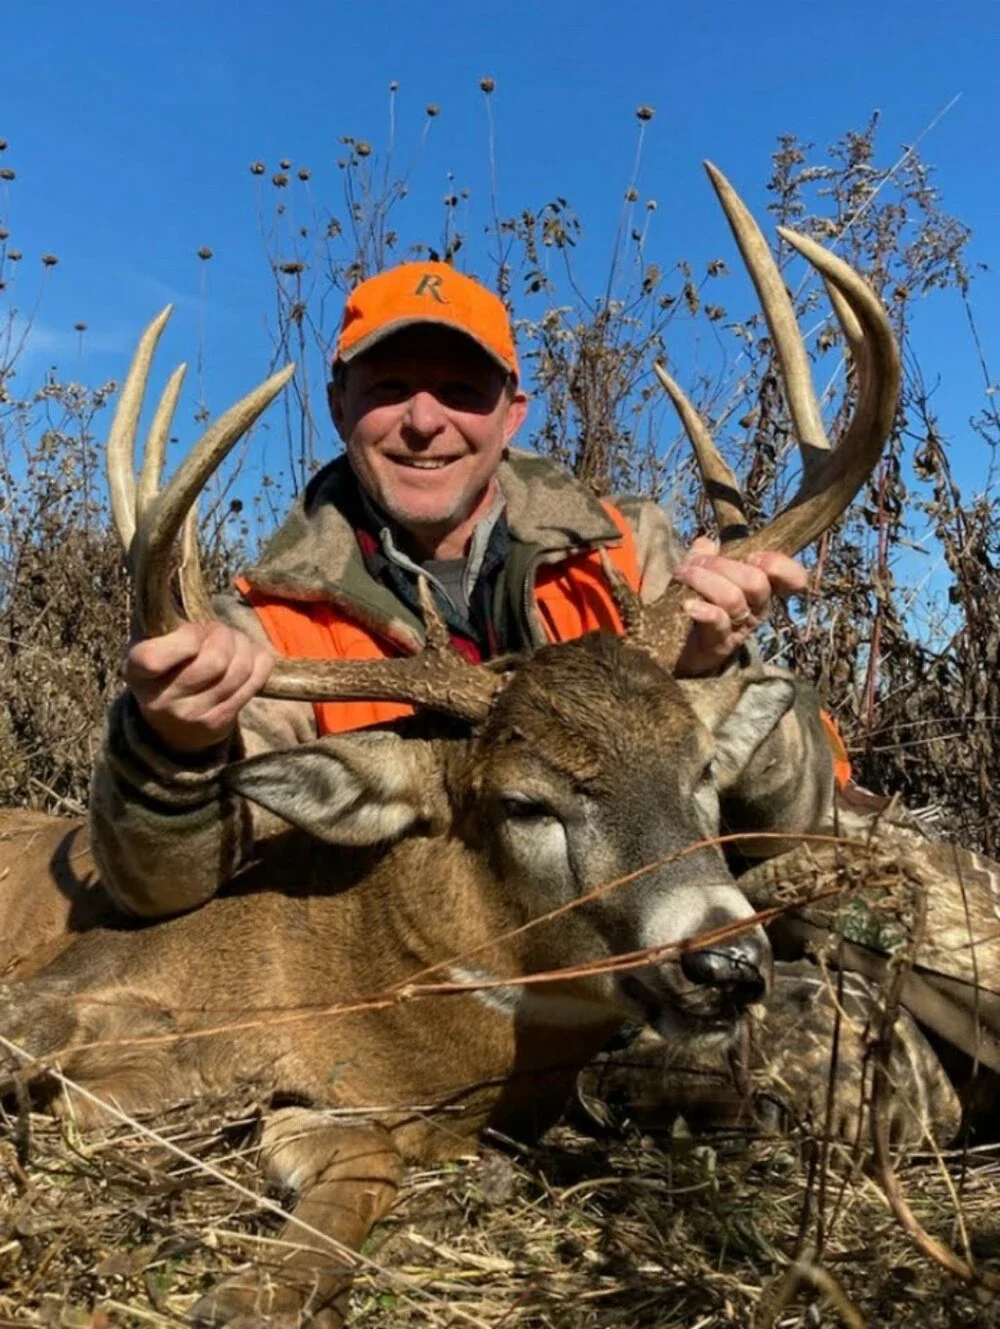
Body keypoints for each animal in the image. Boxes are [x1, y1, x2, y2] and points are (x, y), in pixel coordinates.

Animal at [0, 165, 900, 1328]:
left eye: (703, 773)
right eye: (524, 800)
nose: (726, 960)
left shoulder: (373, 1121)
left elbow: (344, 1178)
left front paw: (255, 1281)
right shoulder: (63, 989)